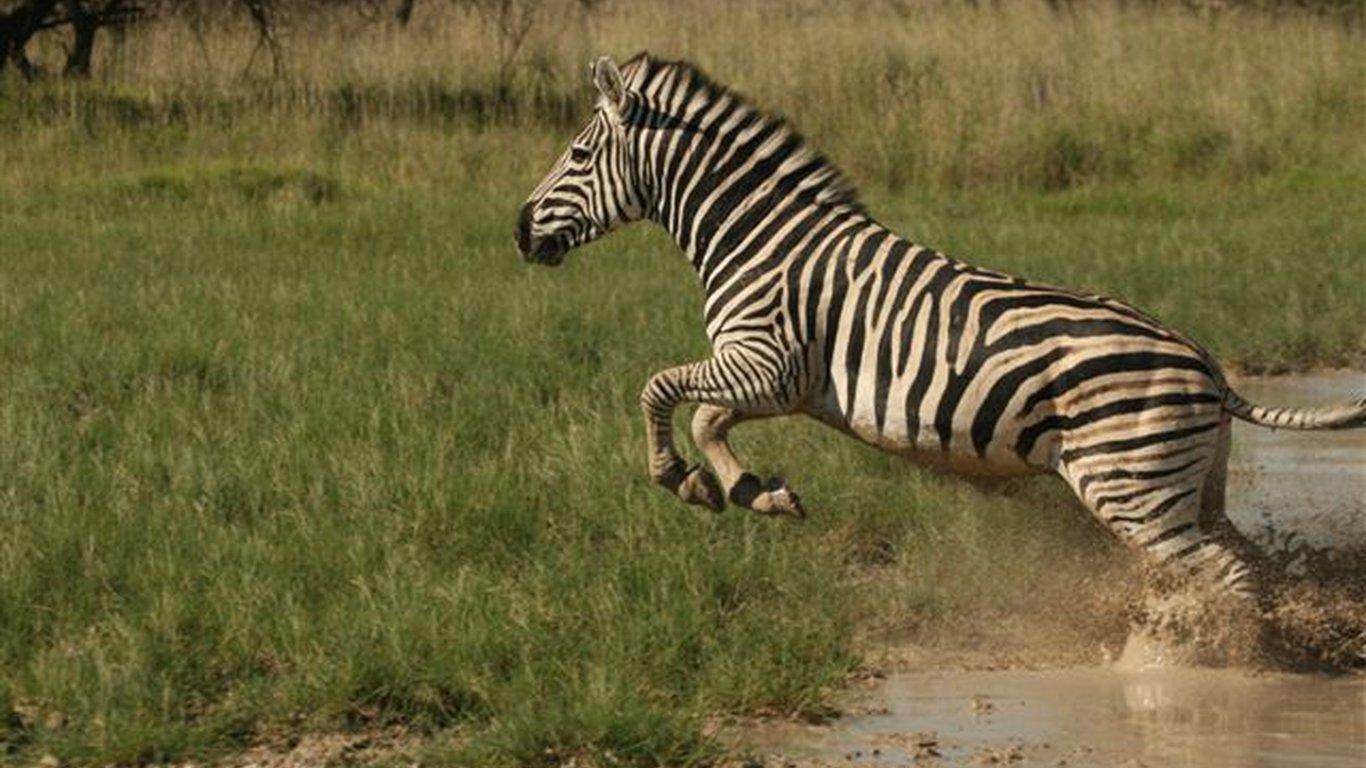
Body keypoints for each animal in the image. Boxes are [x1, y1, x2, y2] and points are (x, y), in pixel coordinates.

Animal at [513, 53, 1366, 601]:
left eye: (579, 153)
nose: (519, 233)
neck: (762, 239)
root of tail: (1209, 367)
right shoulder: (778, 381)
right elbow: (708, 417)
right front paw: (755, 492)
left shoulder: (768, 362)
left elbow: (658, 388)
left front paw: (681, 480)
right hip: (1187, 484)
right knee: (1242, 564)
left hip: (1129, 486)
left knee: (1221, 577)